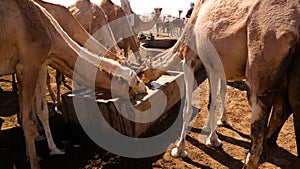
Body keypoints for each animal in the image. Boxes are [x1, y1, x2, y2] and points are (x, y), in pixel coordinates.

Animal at [0, 0, 145, 168]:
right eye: (136, 80)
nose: (145, 88)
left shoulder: (41, 62)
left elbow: (41, 110)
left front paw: (51, 148)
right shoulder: (29, 65)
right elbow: (29, 117)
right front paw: (36, 159)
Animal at [139, 0, 298, 168]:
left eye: (141, 72)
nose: (146, 85)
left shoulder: (189, 58)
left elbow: (188, 108)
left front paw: (180, 149)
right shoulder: (214, 66)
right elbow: (214, 100)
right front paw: (214, 136)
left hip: (263, 53)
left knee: (259, 114)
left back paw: (251, 159)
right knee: (281, 112)